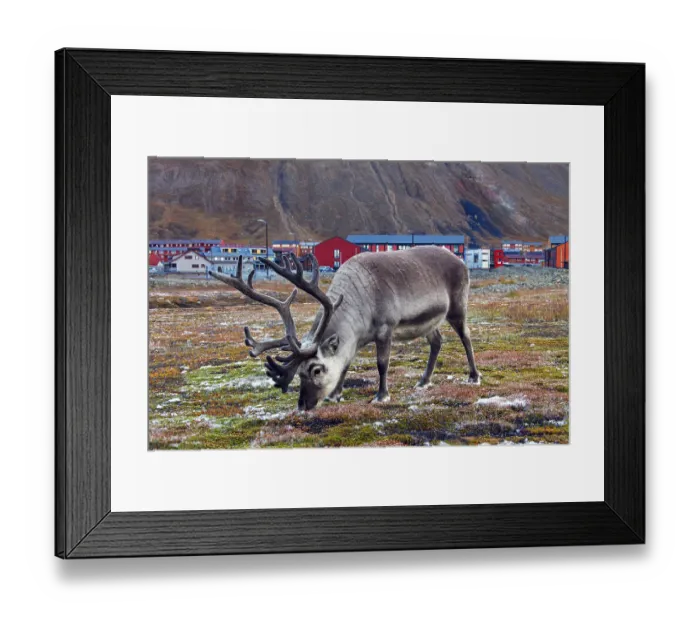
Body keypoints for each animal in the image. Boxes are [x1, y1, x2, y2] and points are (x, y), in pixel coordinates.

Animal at [209, 246, 481, 412]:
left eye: (316, 370)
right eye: (299, 373)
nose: (303, 405)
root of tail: (460, 260)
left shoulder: (385, 328)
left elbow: (382, 363)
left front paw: (381, 395)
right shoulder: (356, 338)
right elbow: (346, 363)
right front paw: (335, 394)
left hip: (458, 307)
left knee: (466, 337)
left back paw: (473, 375)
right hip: (430, 322)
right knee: (437, 341)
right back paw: (424, 380)